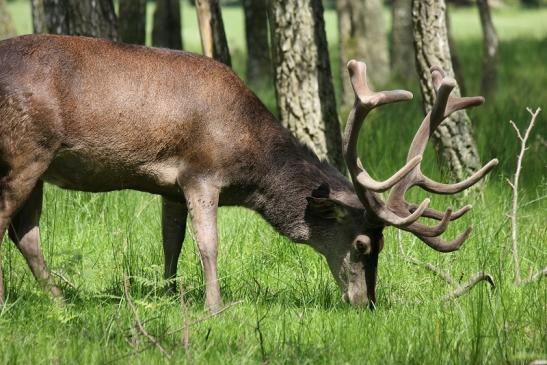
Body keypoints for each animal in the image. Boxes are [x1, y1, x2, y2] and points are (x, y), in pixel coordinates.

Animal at [0, 34, 496, 308]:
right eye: (361, 245)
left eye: (383, 246)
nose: (367, 303)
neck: (249, 168)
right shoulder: (199, 172)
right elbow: (207, 244)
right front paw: (214, 306)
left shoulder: (169, 187)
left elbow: (170, 241)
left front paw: (169, 295)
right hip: (25, 151)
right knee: (9, 222)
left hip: (38, 165)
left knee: (26, 233)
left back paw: (61, 300)